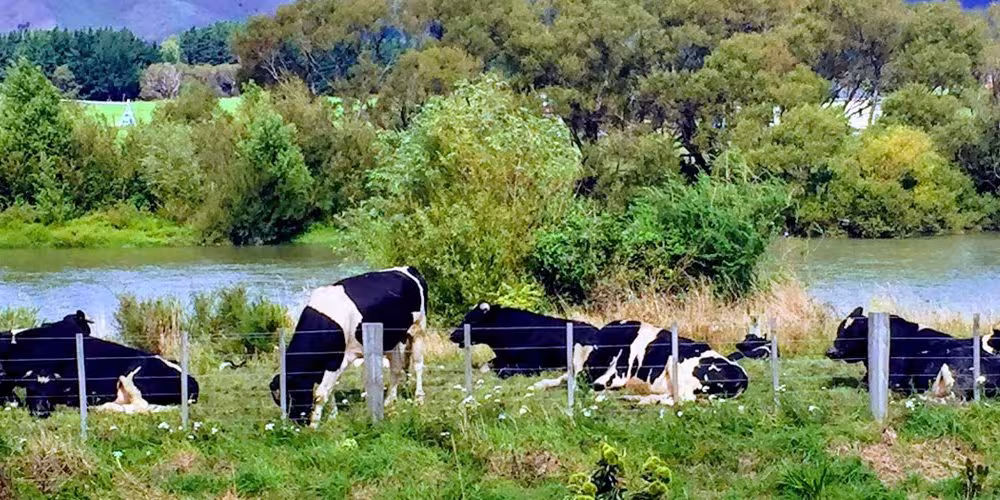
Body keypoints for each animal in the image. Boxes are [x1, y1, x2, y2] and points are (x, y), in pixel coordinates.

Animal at [269, 266, 428, 427]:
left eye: (292, 395)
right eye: (278, 401)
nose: (297, 423)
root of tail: (408, 268)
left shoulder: (335, 361)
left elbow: (320, 394)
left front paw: (314, 425)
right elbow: (330, 389)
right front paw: (333, 415)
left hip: (418, 327)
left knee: (418, 365)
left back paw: (418, 398)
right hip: (391, 338)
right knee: (396, 367)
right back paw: (390, 401)